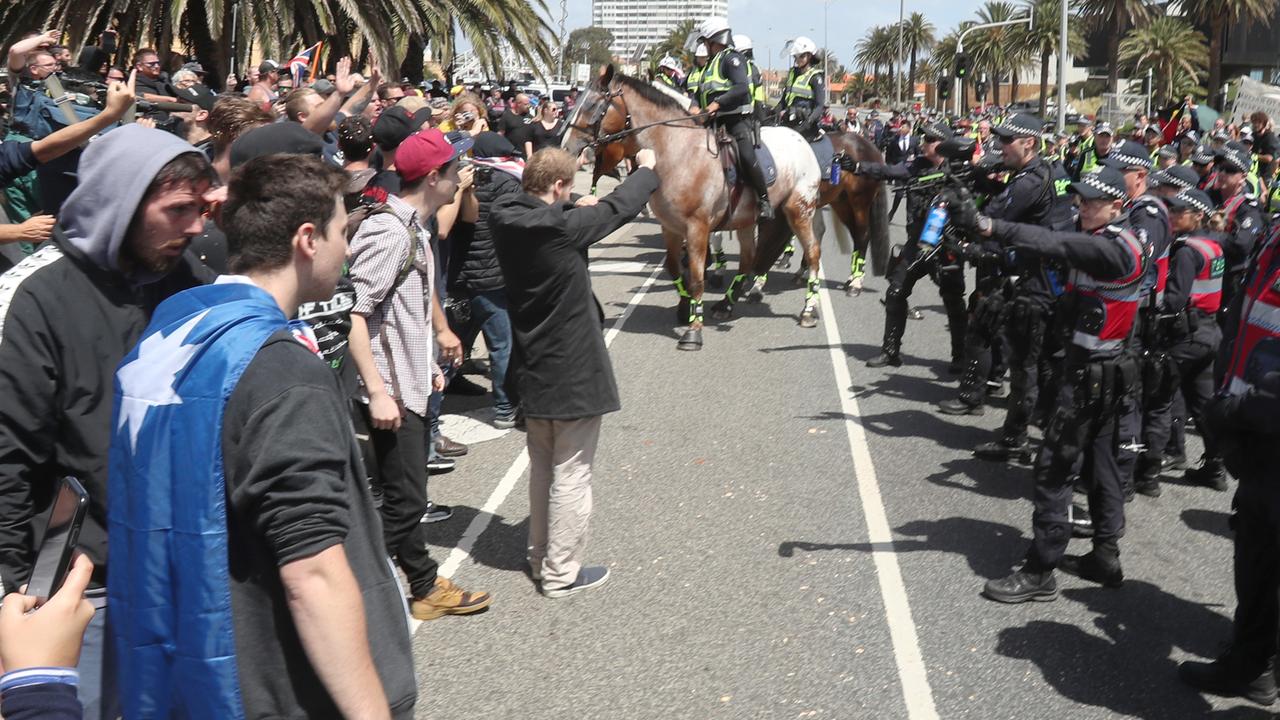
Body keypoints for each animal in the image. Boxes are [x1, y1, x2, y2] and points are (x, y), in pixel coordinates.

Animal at [560, 65, 819, 351]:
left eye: (594, 105)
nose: (566, 147)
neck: (678, 152)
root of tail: (800, 139)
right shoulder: (671, 227)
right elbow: (675, 268)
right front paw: (686, 309)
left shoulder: (698, 227)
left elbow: (696, 276)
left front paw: (693, 330)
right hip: (745, 220)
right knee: (748, 260)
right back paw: (726, 304)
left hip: (799, 210)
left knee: (813, 252)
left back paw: (809, 310)